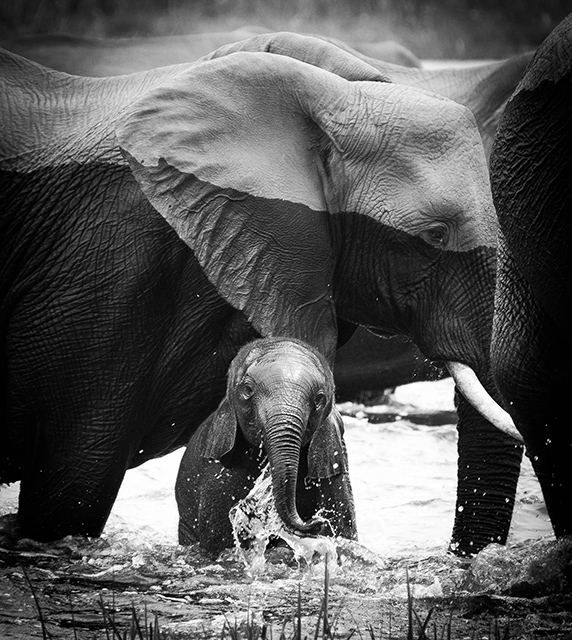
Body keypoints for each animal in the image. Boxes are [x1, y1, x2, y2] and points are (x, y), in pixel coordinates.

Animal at [175, 337, 355, 556]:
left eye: (319, 398)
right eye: (247, 391)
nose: (316, 522)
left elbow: (345, 527)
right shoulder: (217, 472)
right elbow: (219, 540)